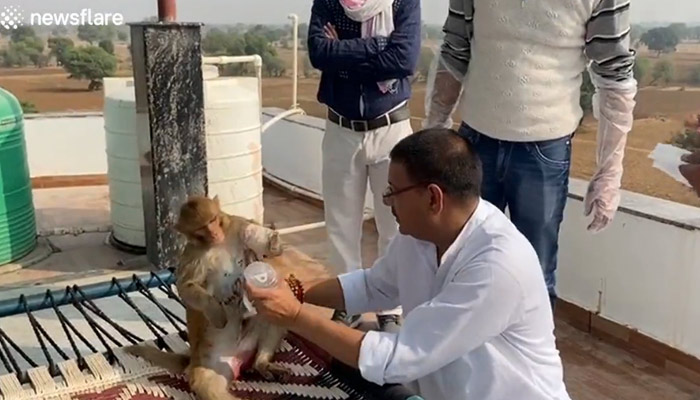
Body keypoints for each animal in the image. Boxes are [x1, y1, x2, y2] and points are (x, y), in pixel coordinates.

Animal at [123, 195, 290, 400]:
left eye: (213, 220)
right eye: (201, 228)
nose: (214, 233)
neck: (218, 242)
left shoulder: (237, 224)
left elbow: (265, 245)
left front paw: (271, 241)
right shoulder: (194, 255)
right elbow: (186, 287)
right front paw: (216, 312)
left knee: (273, 315)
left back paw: (262, 364)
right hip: (211, 363)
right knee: (207, 384)